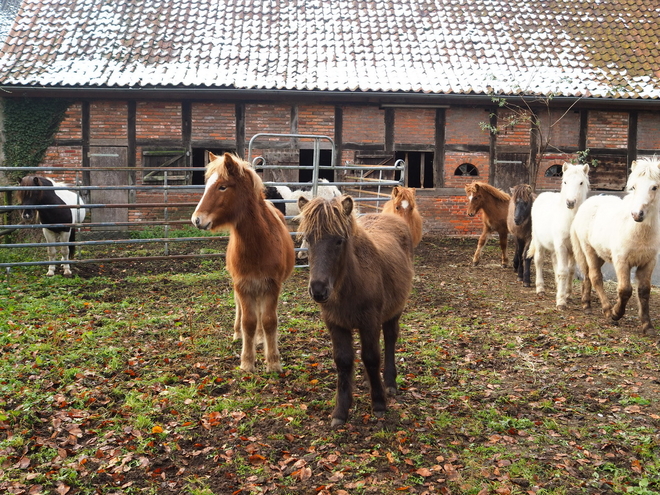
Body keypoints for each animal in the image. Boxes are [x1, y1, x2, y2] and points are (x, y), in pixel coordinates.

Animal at [191, 153, 294, 374]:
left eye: (222, 187)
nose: (196, 219)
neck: (258, 244)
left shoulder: (271, 285)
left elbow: (269, 321)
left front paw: (273, 362)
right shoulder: (243, 285)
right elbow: (249, 322)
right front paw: (247, 362)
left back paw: (261, 339)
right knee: (240, 307)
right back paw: (239, 334)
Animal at [298, 196, 412, 428]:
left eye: (339, 240)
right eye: (308, 238)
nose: (318, 290)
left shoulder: (370, 322)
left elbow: (371, 357)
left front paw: (379, 403)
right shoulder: (336, 324)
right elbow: (343, 361)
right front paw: (340, 411)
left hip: (394, 311)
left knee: (390, 339)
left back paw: (389, 383)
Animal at [528, 165, 592, 308]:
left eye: (581, 182)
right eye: (565, 182)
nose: (570, 202)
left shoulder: (573, 249)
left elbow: (571, 271)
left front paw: (567, 294)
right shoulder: (562, 247)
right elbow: (563, 271)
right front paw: (561, 301)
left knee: (554, 261)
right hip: (539, 242)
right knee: (539, 260)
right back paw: (540, 289)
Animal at [568, 158, 660, 338]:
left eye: (654, 187)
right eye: (634, 186)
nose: (637, 214)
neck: (637, 230)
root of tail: (588, 202)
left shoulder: (648, 262)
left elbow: (644, 292)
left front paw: (648, 326)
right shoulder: (621, 261)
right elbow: (625, 290)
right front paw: (616, 314)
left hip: (600, 255)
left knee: (588, 275)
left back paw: (587, 304)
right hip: (588, 250)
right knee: (595, 276)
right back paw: (605, 309)